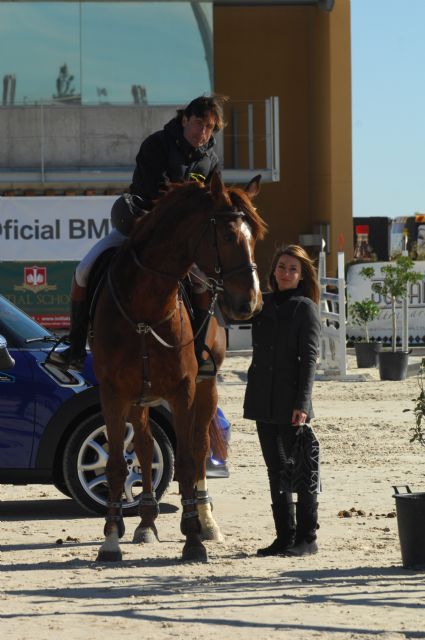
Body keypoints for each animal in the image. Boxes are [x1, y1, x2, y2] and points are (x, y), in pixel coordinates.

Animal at [92, 174, 264, 560]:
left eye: (254, 238)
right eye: (228, 236)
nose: (250, 303)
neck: (145, 308)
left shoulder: (183, 390)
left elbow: (186, 461)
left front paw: (193, 538)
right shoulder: (113, 393)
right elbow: (116, 464)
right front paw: (110, 538)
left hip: (206, 388)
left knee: (199, 448)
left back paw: (205, 519)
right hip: (139, 399)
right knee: (142, 447)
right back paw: (144, 522)